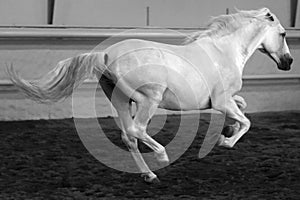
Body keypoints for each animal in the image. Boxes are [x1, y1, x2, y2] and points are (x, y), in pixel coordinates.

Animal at [7, 8, 292, 183]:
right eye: (283, 34)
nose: (288, 62)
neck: (223, 51)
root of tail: (106, 54)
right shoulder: (221, 102)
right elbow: (247, 121)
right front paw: (226, 141)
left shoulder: (225, 100)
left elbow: (243, 106)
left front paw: (227, 131)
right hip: (148, 100)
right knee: (137, 130)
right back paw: (162, 156)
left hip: (121, 100)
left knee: (128, 136)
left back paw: (149, 176)